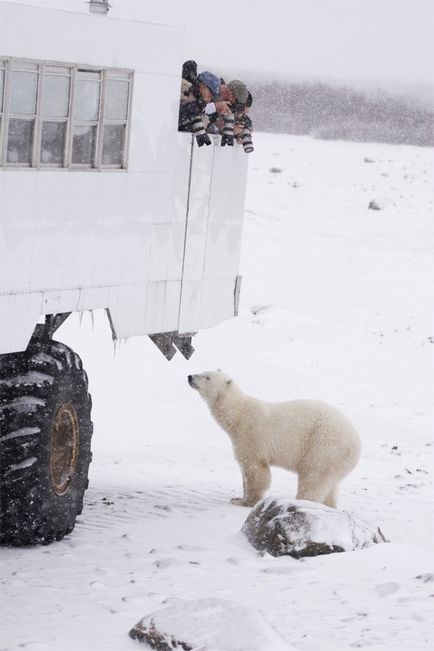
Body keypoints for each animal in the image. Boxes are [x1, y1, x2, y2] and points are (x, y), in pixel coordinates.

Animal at [188, 372, 362, 510]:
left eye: (207, 377)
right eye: (203, 371)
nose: (190, 377)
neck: (237, 414)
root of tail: (356, 443)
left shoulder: (250, 435)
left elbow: (255, 470)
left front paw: (245, 502)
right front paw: (238, 498)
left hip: (324, 445)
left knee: (313, 478)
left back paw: (300, 502)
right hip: (336, 460)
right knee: (330, 486)